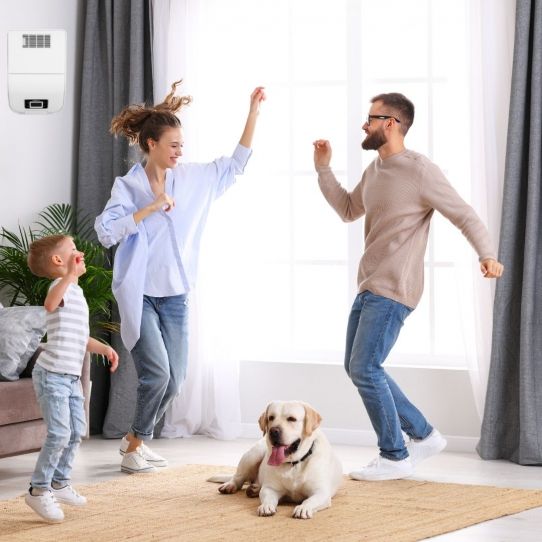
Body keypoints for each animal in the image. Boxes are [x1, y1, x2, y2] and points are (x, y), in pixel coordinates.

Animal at [210, 402, 342, 520]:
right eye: (271, 418)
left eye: (292, 419)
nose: (273, 431)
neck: (293, 464)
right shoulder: (270, 488)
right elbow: (268, 497)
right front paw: (266, 506)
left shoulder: (321, 493)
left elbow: (310, 500)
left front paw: (303, 508)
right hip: (253, 454)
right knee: (238, 477)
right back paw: (231, 485)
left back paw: (254, 489)